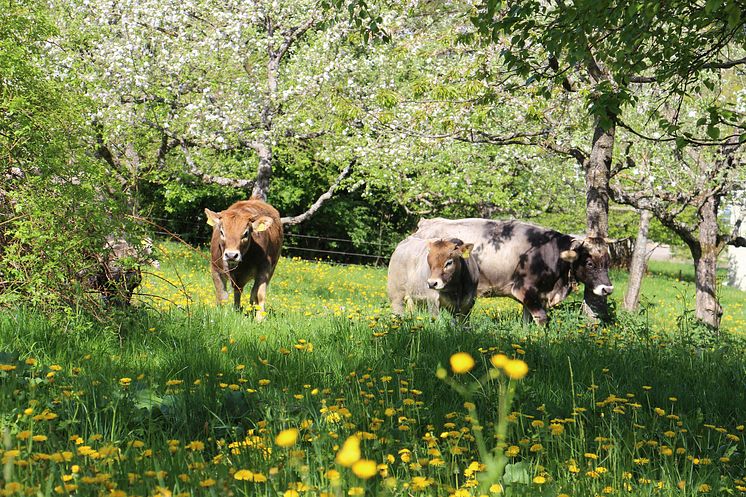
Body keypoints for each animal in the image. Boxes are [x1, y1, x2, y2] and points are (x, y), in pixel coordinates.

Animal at [412, 219, 612, 324]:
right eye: (589, 263)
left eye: (608, 262)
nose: (608, 289)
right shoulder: (526, 290)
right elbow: (542, 318)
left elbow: (526, 320)